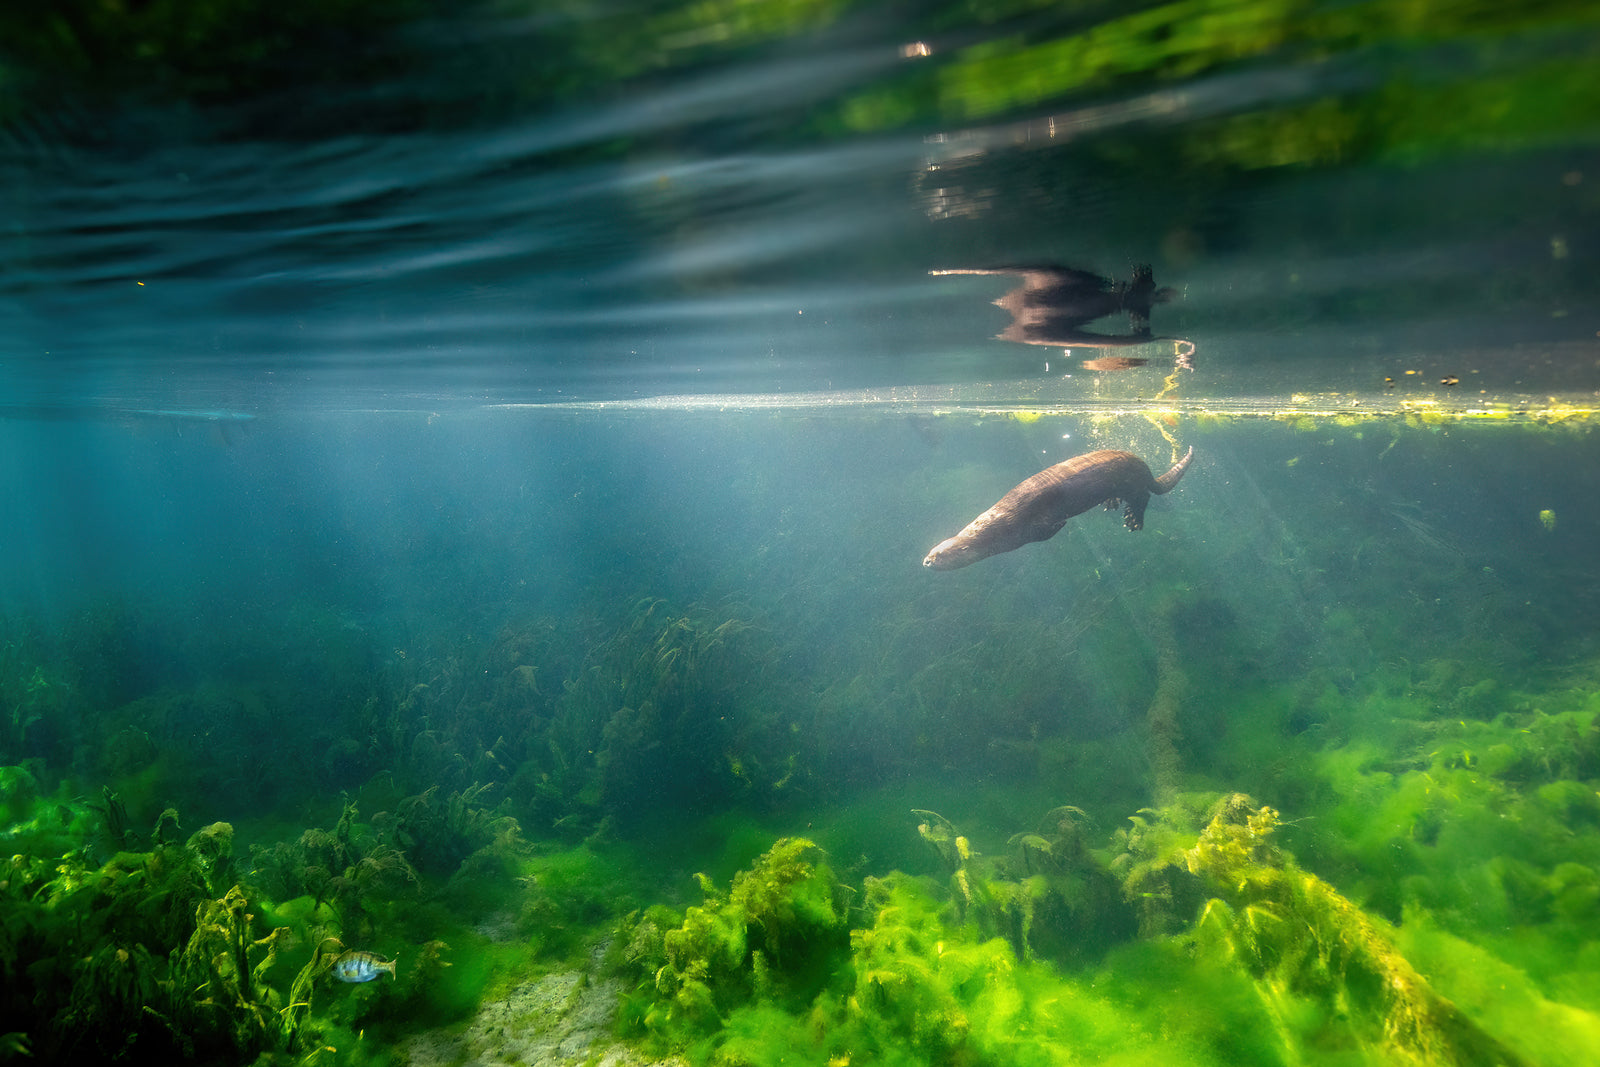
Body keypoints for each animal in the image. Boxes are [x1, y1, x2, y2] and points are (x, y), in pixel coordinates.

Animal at [923, 447, 1194, 570]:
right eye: (933, 550)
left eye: (941, 555)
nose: (926, 561)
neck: (1002, 522)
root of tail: (1147, 470)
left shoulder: (1028, 529)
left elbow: (1047, 530)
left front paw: (1060, 524)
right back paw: (1111, 503)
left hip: (1133, 483)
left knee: (1144, 497)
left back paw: (1133, 519)